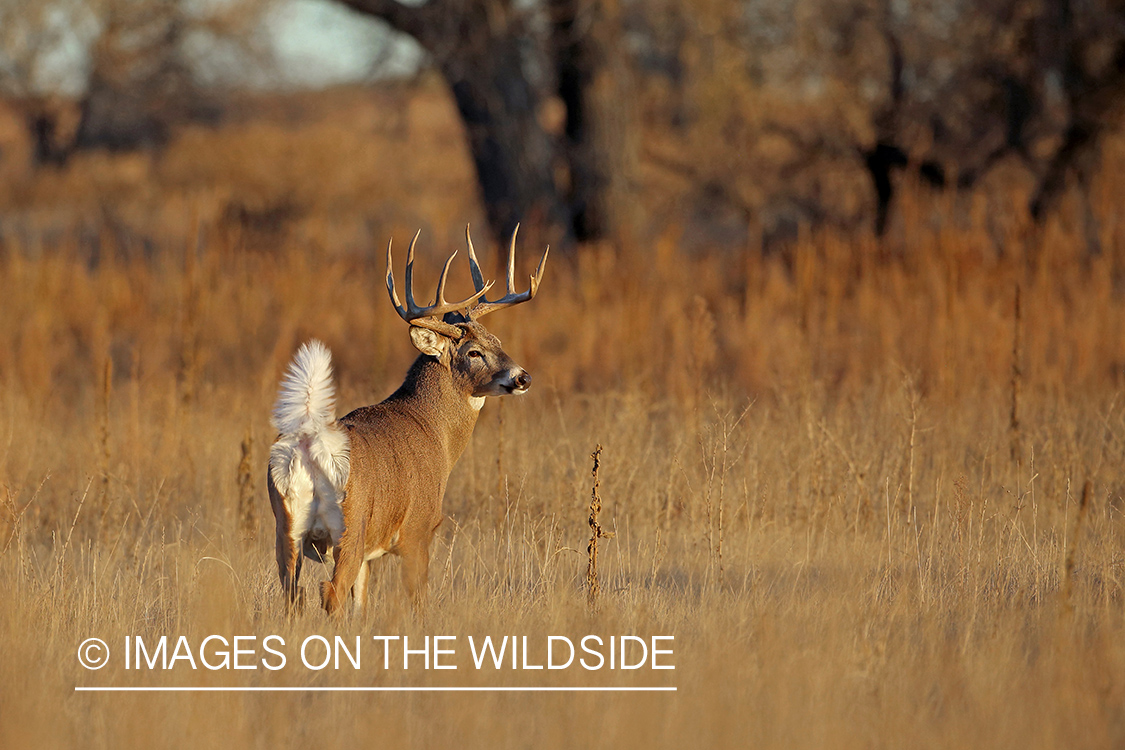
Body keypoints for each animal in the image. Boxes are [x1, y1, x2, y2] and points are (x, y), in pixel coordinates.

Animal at [263, 226, 544, 611]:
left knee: (294, 595)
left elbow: (362, 605)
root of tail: (307, 448)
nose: (522, 378)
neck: (433, 430)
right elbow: (417, 601)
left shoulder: (370, 554)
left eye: (497, 340)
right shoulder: (418, 530)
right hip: (349, 526)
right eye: (474, 352)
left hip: (285, 531)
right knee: (330, 591)